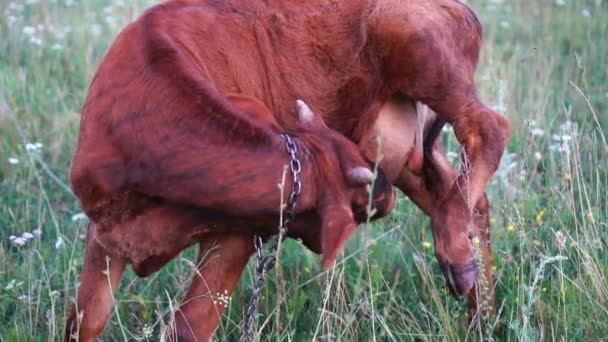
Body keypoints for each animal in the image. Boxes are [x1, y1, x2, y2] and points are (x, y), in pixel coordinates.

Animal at [65, 0, 508, 340]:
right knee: (464, 200)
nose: (382, 195)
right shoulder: (104, 232)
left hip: (420, 53)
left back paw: (457, 259)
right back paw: (481, 317)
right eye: (363, 207)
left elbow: (189, 326)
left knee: (488, 128)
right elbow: (86, 318)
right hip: (405, 152)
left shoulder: (238, 234)